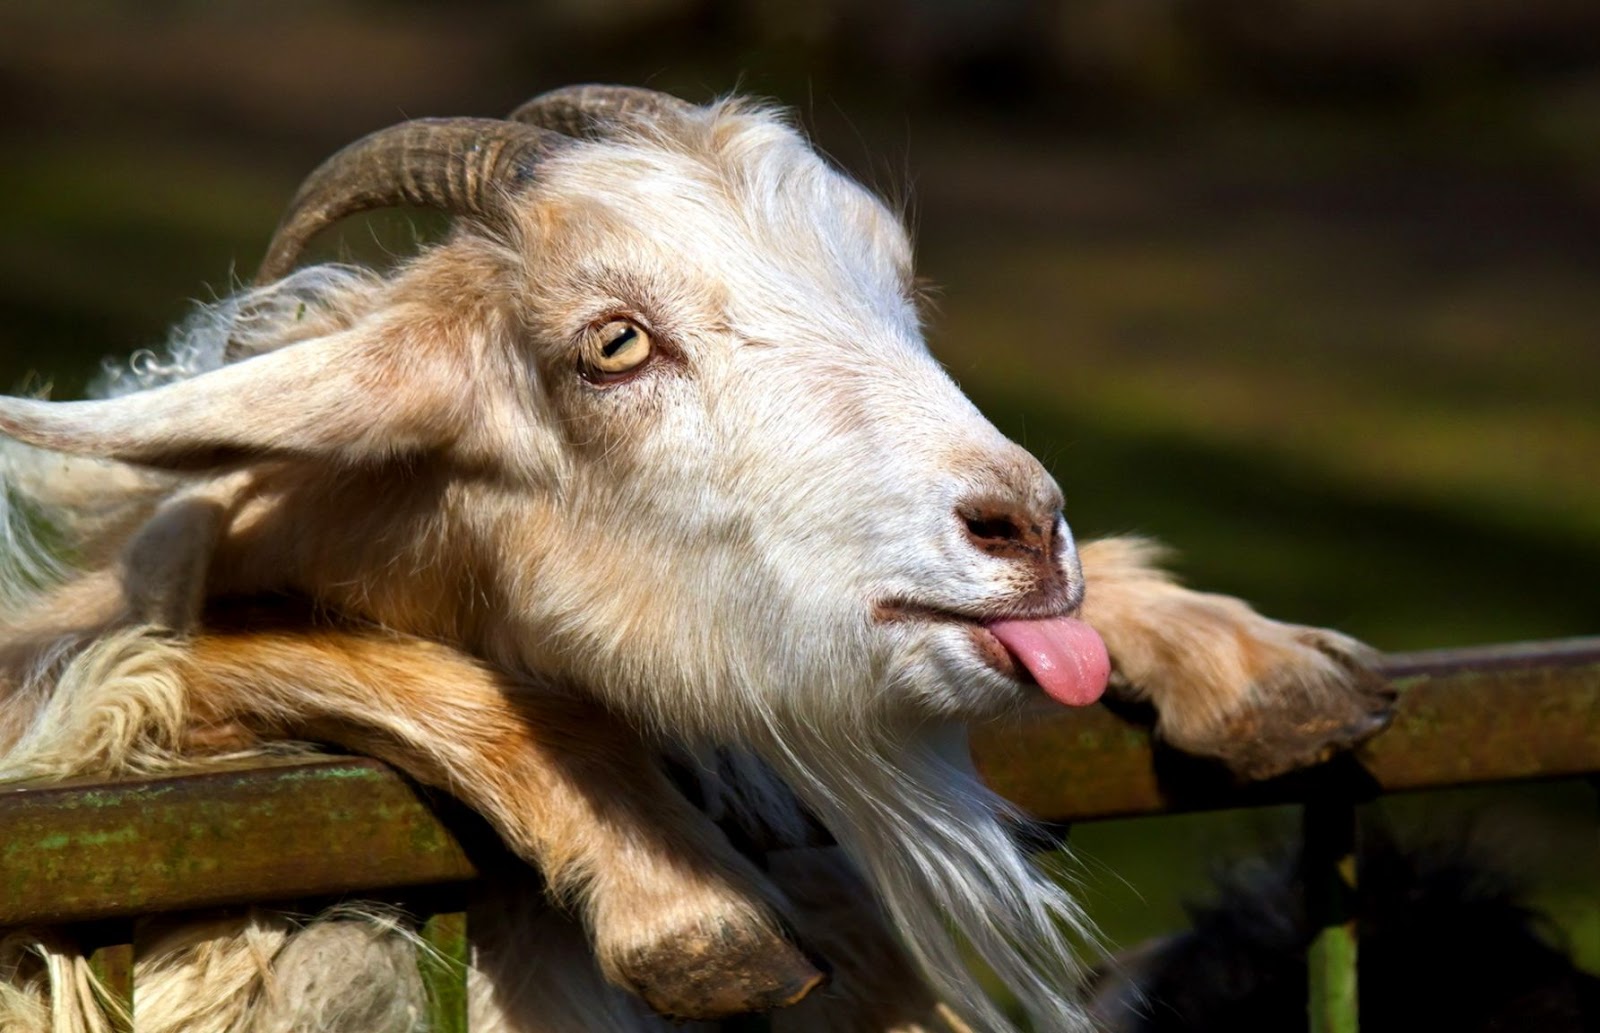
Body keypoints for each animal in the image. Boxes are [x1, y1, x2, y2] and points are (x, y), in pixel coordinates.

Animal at [0, 85, 1394, 1032]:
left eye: (898, 294)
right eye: (614, 343)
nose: (1024, 528)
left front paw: (1260, 666)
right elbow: (221, 654)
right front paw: (688, 906)